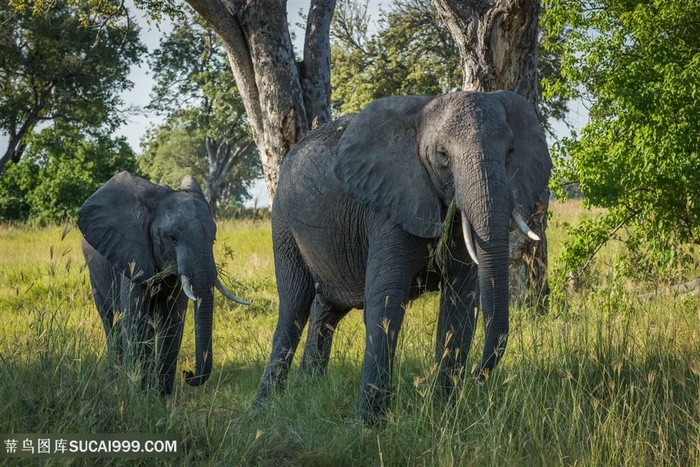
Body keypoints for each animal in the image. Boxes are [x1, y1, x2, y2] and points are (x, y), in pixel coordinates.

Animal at [78, 172, 249, 394]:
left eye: (213, 239)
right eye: (172, 238)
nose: (188, 373)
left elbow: (172, 321)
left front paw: (161, 395)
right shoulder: (132, 258)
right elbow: (136, 319)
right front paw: (139, 393)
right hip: (94, 273)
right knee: (111, 320)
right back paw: (115, 378)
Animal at [256, 89, 552, 422]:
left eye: (510, 151)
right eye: (442, 155)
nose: (477, 376)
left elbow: (460, 305)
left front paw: (444, 411)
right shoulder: (387, 207)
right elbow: (385, 303)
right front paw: (367, 424)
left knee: (325, 309)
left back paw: (309, 388)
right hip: (283, 222)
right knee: (294, 306)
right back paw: (263, 408)